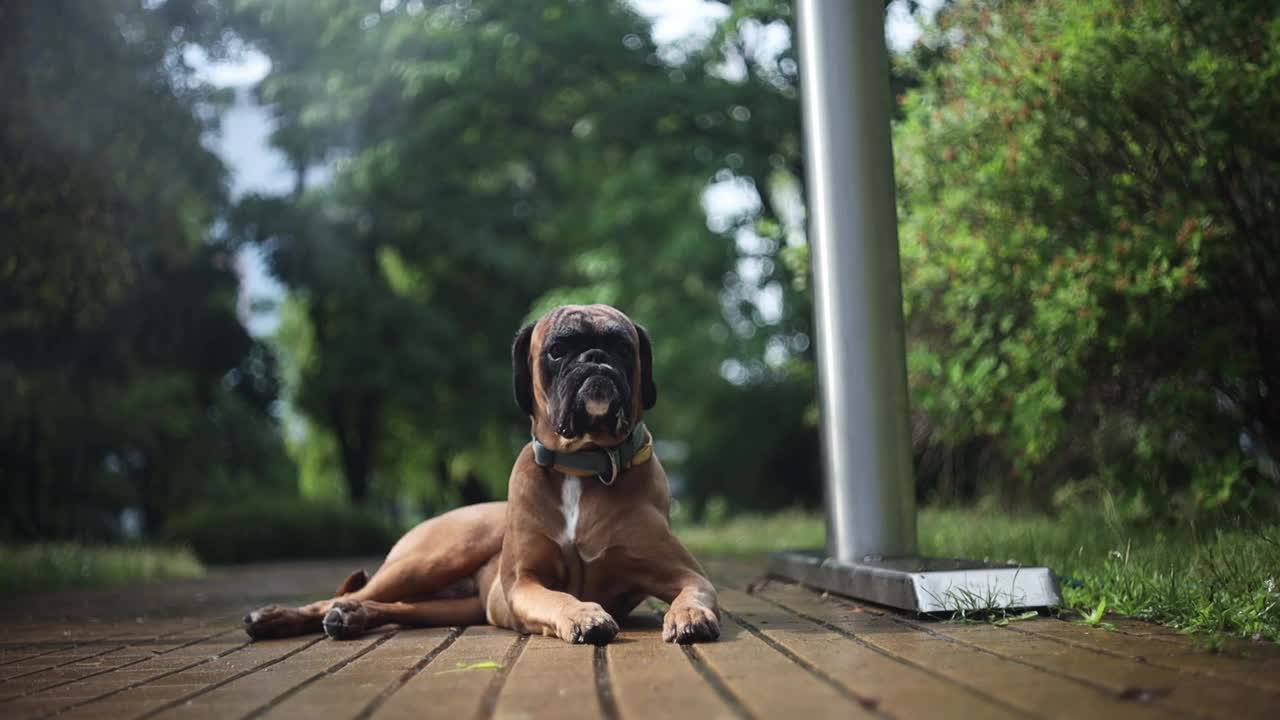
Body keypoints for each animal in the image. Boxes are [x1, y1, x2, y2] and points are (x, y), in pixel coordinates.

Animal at [240, 304, 721, 640]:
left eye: (623, 347)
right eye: (558, 351)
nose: (596, 358)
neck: (582, 465)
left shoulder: (685, 572)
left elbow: (694, 590)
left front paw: (690, 614)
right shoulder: (523, 582)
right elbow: (557, 595)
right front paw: (583, 613)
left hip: (455, 604)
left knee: (394, 608)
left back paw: (352, 618)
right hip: (435, 557)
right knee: (340, 595)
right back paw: (275, 617)